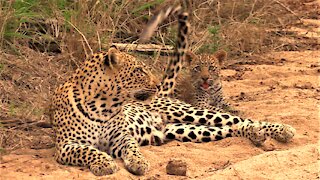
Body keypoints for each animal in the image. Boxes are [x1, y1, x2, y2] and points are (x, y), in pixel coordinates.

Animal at [52, 5, 296, 176]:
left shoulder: (121, 136)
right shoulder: (65, 146)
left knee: (237, 119)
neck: (105, 106)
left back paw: (282, 130)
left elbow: (132, 148)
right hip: (184, 130)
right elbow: (88, 150)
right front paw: (104, 163)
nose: (155, 82)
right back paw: (257, 134)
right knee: (229, 128)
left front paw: (139, 162)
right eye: (139, 71)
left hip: (190, 112)